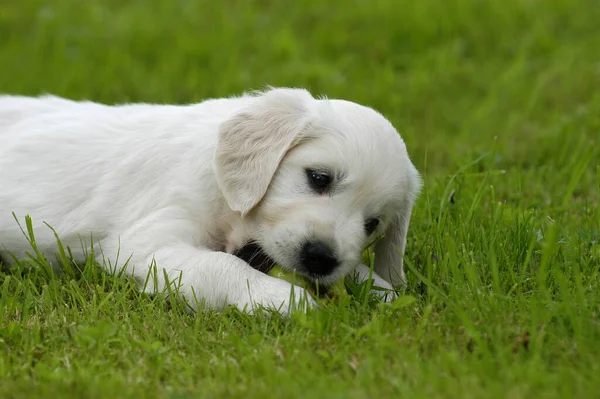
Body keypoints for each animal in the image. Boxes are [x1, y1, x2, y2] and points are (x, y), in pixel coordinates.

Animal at [0, 88, 422, 316]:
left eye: (372, 224)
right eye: (319, 178)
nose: (320, 258)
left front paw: (381, 289)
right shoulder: (143, 244)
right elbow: (221, 265)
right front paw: (284, 298)